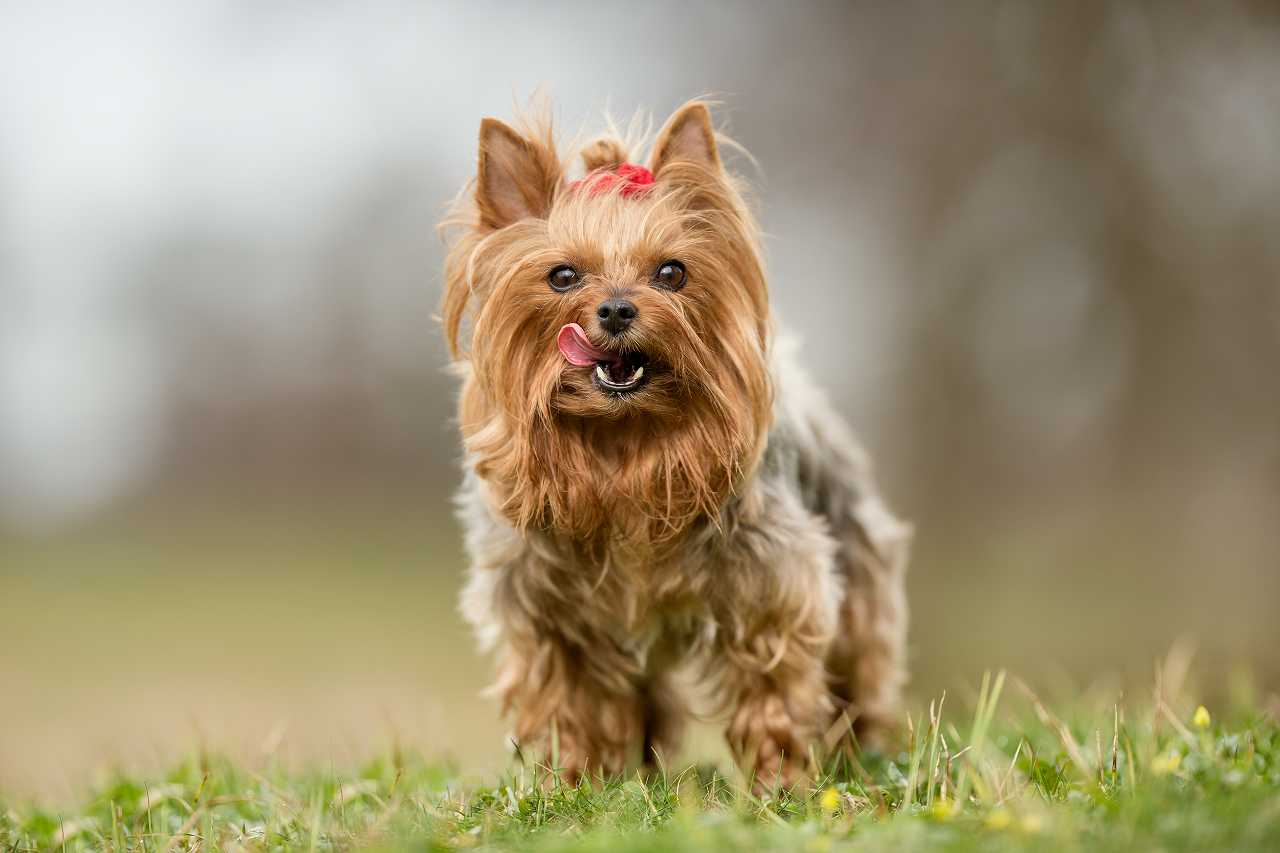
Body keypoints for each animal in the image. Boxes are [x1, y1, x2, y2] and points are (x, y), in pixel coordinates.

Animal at [440, 99, 911, 783]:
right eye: (562, 275)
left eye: (672, 271)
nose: (615, 309)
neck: (624, 439)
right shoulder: (547, 612)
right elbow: (565, 698)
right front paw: (570, 780)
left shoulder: (771, 584)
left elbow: (773, 681)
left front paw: (779, 776)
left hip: (858, 563)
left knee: (859, 667)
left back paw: (860, 751)